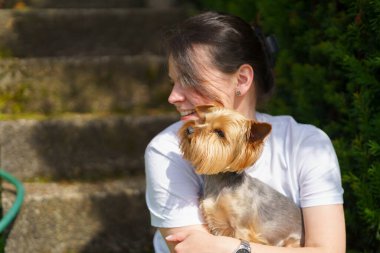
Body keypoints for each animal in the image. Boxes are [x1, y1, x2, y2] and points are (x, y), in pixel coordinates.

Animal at [178, 105, 302, 247]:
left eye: (219, 133)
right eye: (202, 120)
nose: (189, 129)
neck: (220, 182)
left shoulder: (242, 229)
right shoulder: (215, 222)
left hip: (291, 241)